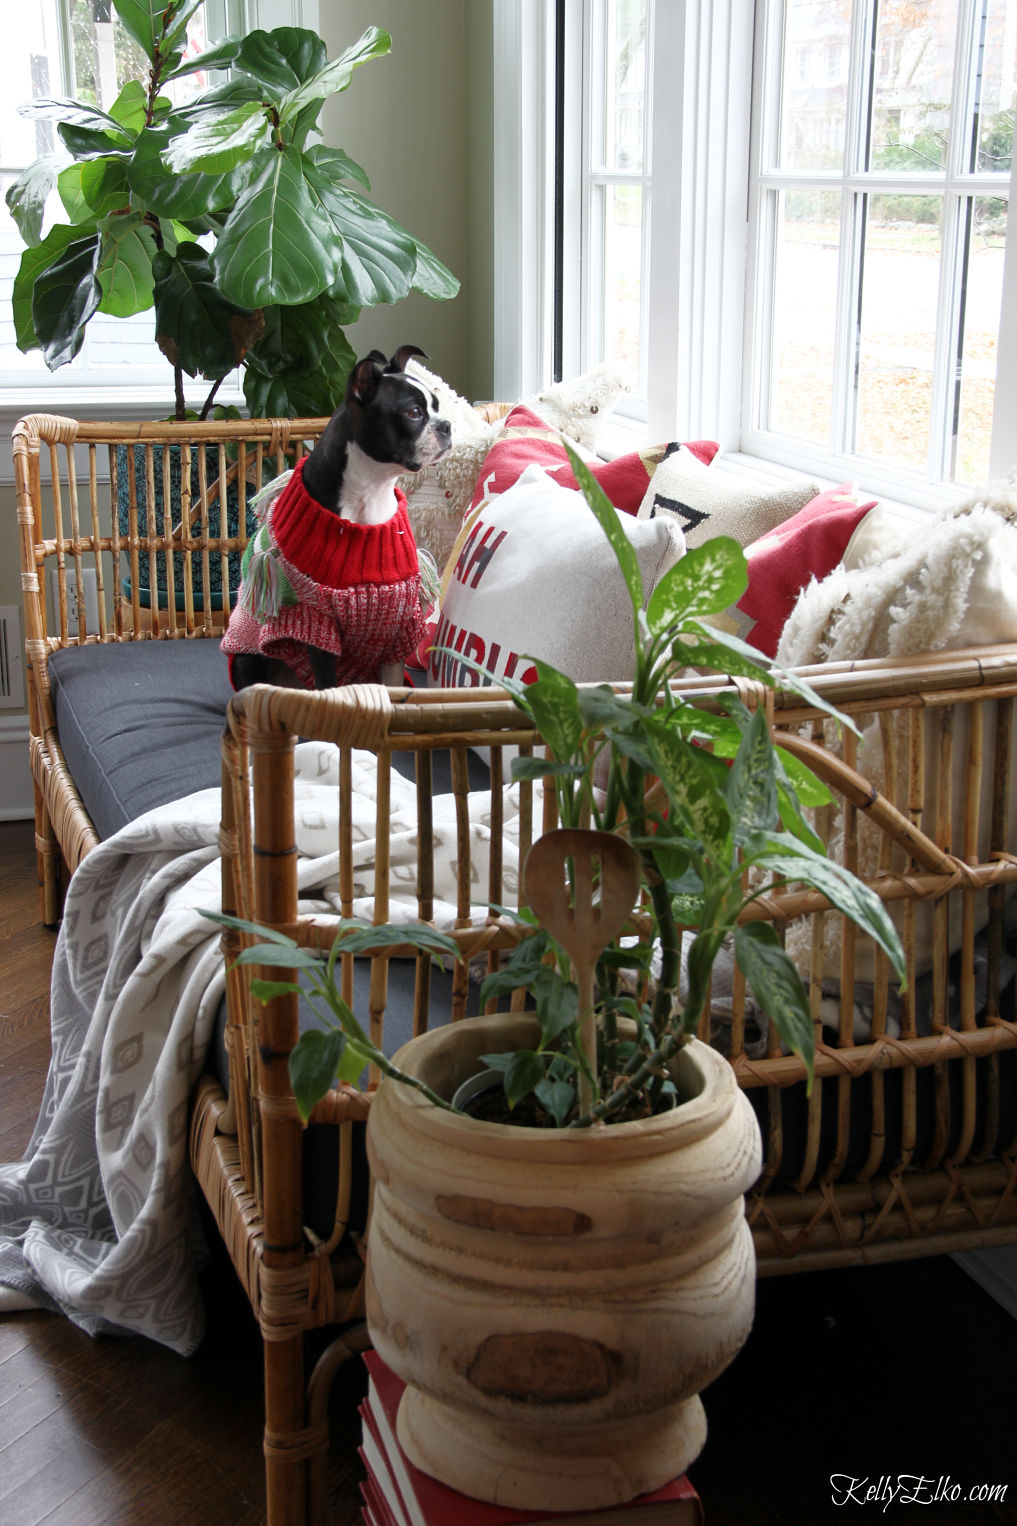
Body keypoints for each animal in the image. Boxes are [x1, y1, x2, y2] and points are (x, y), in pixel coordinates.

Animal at [224, 349, 448, 689]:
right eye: (413, 413)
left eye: (437, 407)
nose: (447, 426)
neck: (370, 493)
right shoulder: (317, 625)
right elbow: (329, 686)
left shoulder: (398, 626)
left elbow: (393, 687)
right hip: (247, 658)